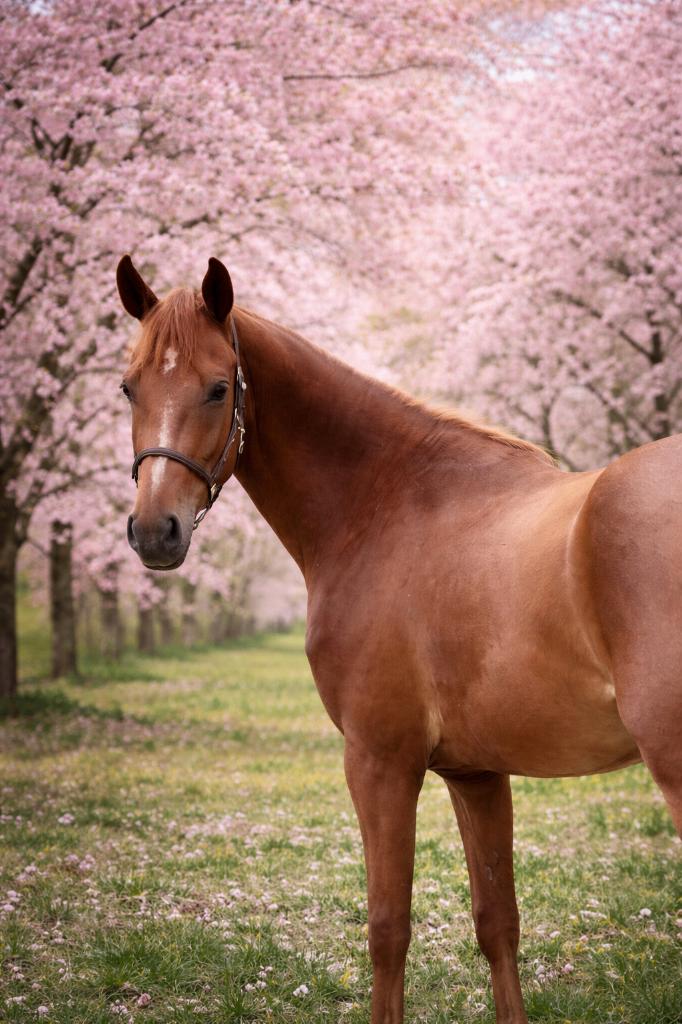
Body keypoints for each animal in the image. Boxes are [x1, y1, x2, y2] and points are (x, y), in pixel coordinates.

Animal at [116, 254, 681, 1024]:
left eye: (217, 386)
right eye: (129, 387)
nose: (155, 531)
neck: (390, 508)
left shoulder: (379, 762)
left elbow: (387, 928)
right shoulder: (477, 773)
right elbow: (497, 924)